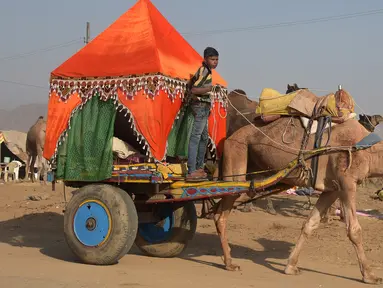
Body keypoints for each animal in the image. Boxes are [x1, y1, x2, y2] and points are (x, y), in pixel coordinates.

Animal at [213, 88, 383, 286]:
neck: (368, 150)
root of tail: (229, 138)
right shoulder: (346, 182)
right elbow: (354, 230)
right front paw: (370, 275)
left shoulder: (332, 188)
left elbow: (310, 224)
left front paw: (290, 266)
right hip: (237, 156)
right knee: (221, 214)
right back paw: (229, 262)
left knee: (220, 207)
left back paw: (227, 257)